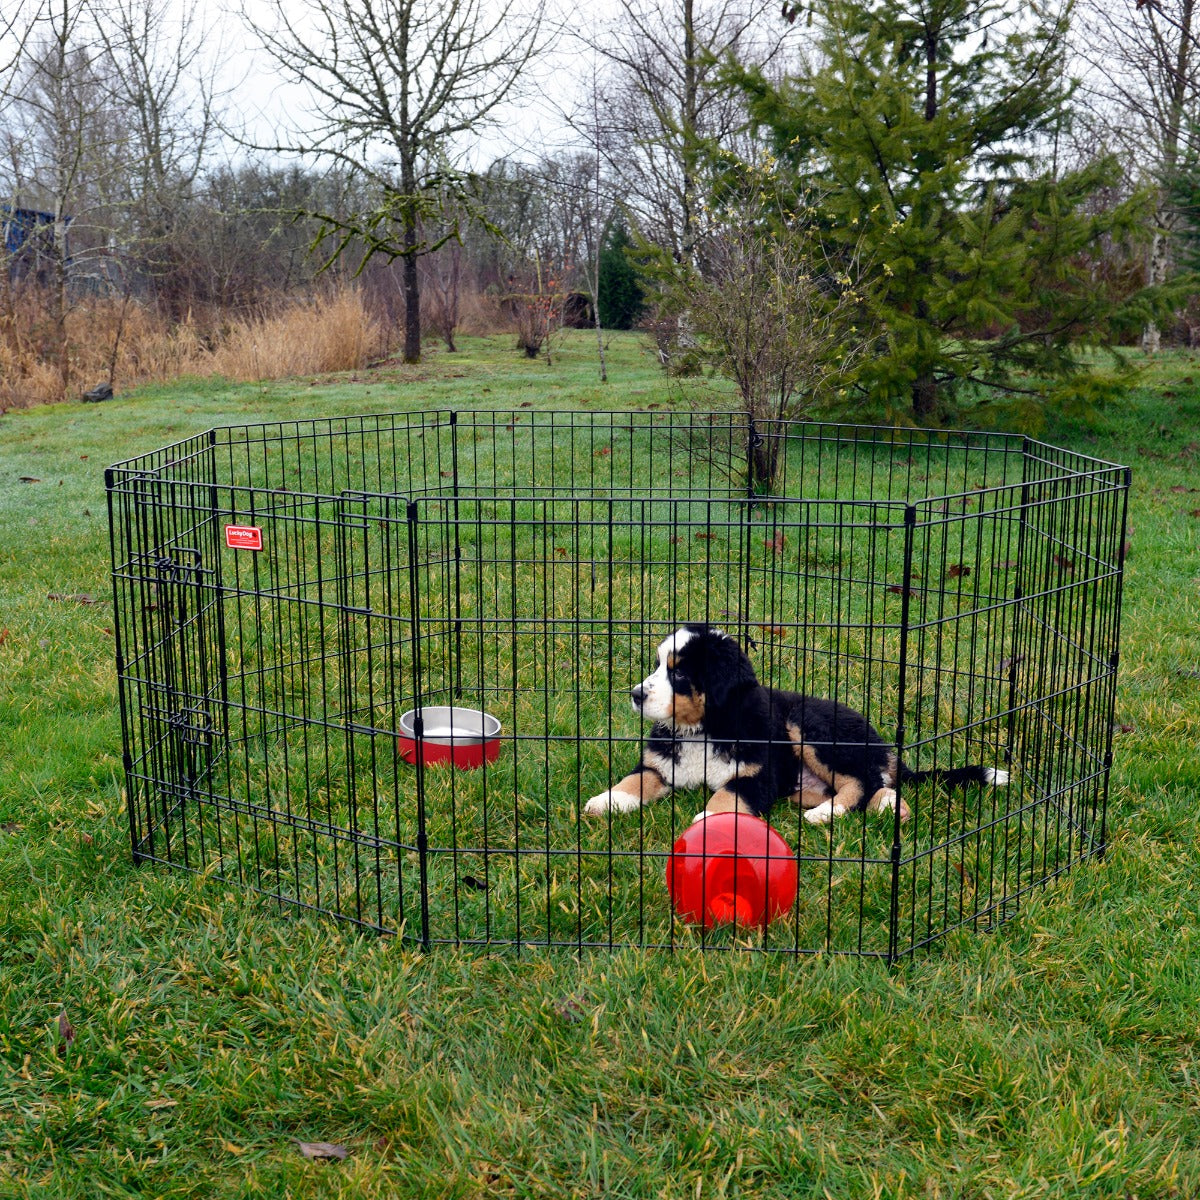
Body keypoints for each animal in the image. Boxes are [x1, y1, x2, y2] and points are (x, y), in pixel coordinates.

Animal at [585, 628, 1008, 825]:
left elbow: (727, 794)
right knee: (878, 785)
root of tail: (881, 745)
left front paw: (710, 821)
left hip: (809, 727)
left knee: (863, 782)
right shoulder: (659, 765)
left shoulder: (757, 776)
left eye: (680, 674)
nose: (635, 694)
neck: (703, 730)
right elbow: (635, 779)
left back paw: (826, 814)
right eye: (658, 665)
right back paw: (885, 807)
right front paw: (608, 800)